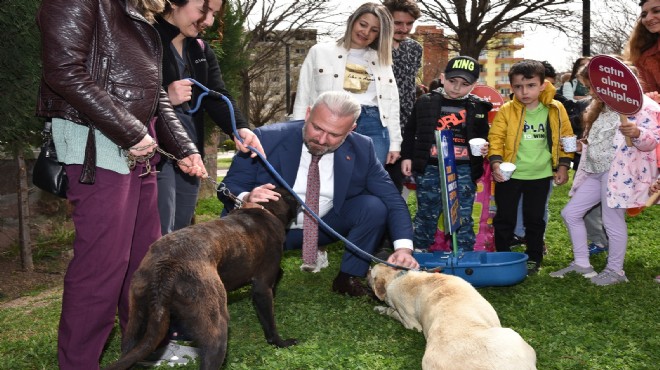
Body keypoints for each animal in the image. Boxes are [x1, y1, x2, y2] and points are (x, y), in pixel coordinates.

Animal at [104, 189, 298, 368]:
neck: (265, 210)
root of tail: (167, 266)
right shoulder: (262, 288)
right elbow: (270, 324)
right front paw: (281, 343)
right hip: (217, 327)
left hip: (136, 322)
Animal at [366, 264, 536, 368]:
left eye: (370, 271)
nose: (365, 270)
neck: (397, 276)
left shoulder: (410, 323)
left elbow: (393, 312)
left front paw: (380, 308)